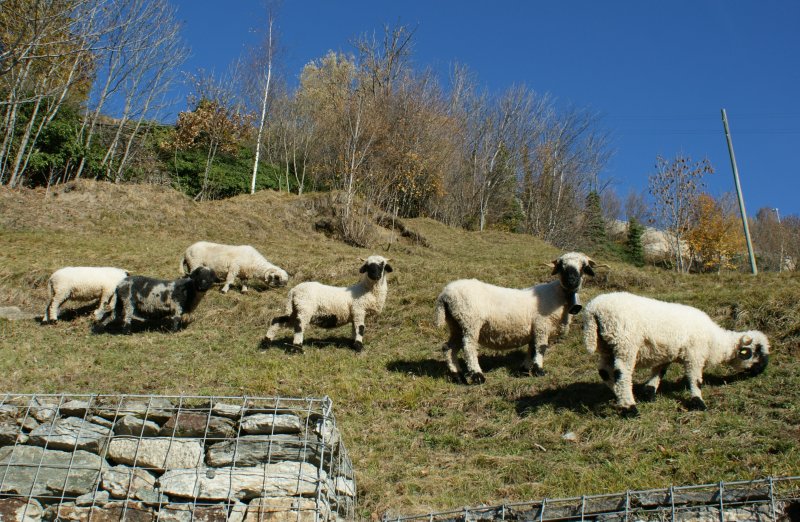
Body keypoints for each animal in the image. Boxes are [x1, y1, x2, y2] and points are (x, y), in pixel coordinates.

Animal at [266, 254, 394, 352]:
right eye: (367, 266)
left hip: (295, 309)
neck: (365, 290)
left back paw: (266, 342)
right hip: (304, 309)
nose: (375, 275)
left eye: (382, 265)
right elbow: (360, 328)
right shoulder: (359, 310)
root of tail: (293, 291)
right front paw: (359, 348)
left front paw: (353, 344)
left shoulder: (355, 314)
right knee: (299, 326)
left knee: (277, 320)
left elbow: (354, 329)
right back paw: (297, 349)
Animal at [432, 251, 600, 382]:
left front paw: (524, 370)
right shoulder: (542, 326)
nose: (572, 281)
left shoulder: (534, 329)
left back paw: (457, 375)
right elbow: (541, 348)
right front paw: (539, 371)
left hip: (456, 323)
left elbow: (532, 349)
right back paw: (477, 376)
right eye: (562, 267)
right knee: (469, 347)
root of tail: (445, 294)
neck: (559, 296)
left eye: (583, 267)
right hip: (470, 321)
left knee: (448, 348)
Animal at [584, 288, 772, 414]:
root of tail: (593, 309)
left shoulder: (667, 353)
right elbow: (695, 379)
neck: (714, 341)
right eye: (756, 352)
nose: (760, 371)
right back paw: (629, 407)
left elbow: (659, 372)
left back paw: (619, 395)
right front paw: (699, 402)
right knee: (622, 373)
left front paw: (649, 392)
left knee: (604, 371)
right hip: (625, 342)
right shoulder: (694, 355)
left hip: (607, 345)